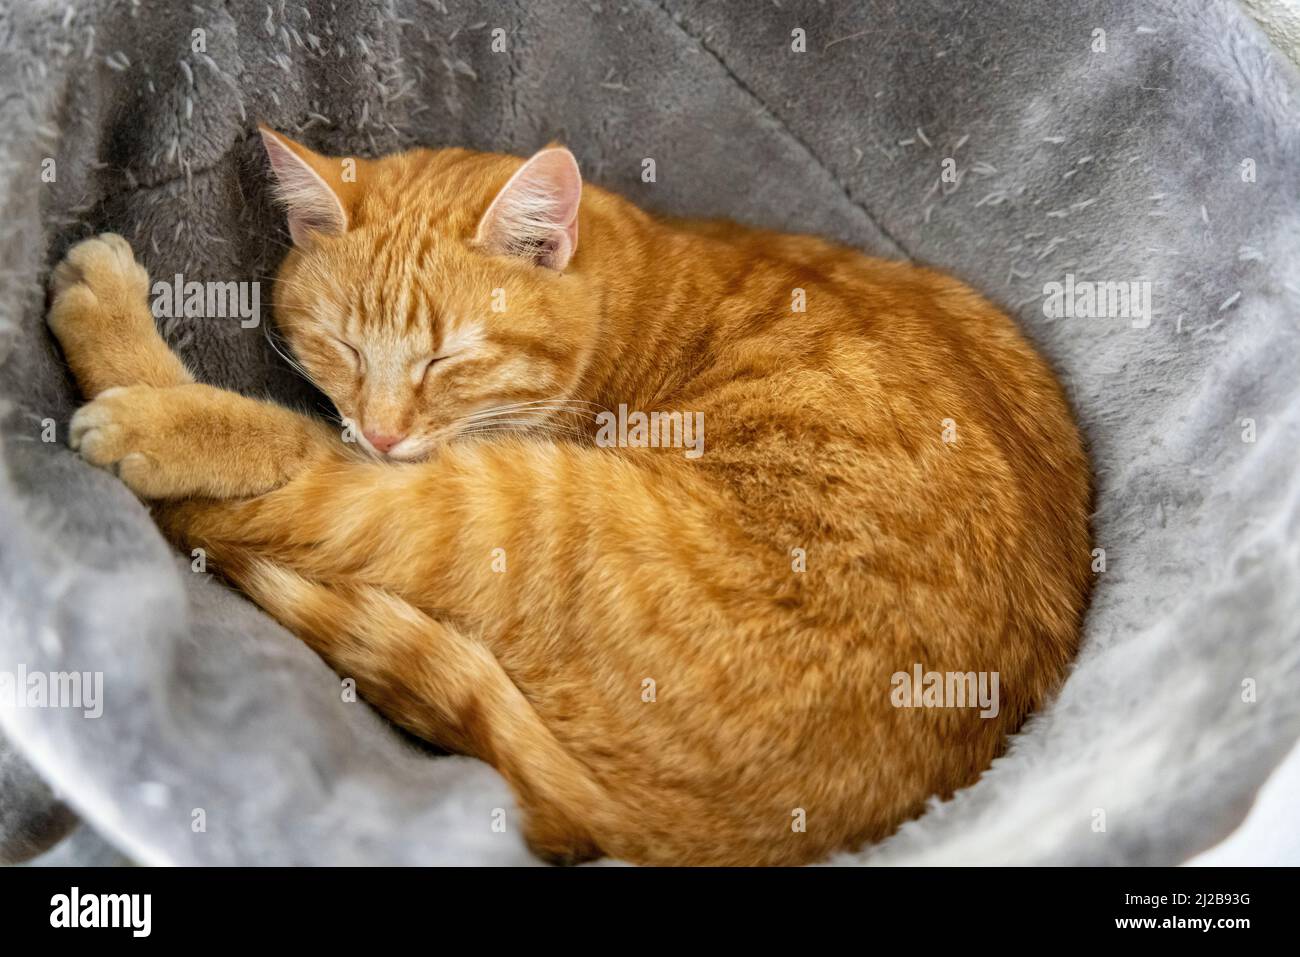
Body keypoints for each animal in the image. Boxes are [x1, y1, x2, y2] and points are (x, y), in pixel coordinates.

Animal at [45, 127, 1092, 868]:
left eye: (446, 359)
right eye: (342, 345)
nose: (380, 430)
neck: (624, 296)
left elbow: (294, 445)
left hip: (500, 507)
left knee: (282, 487)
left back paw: (131, 367)